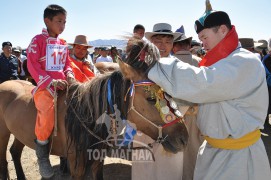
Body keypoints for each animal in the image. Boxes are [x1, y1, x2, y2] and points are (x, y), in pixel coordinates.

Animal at [0, 38, 189, 179]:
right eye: (151, 99)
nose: (183, 139)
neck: (84, 115)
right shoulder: (76, 165)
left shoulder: (97, 162)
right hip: (3, 133)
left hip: (20, 132)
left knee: (15, 152)